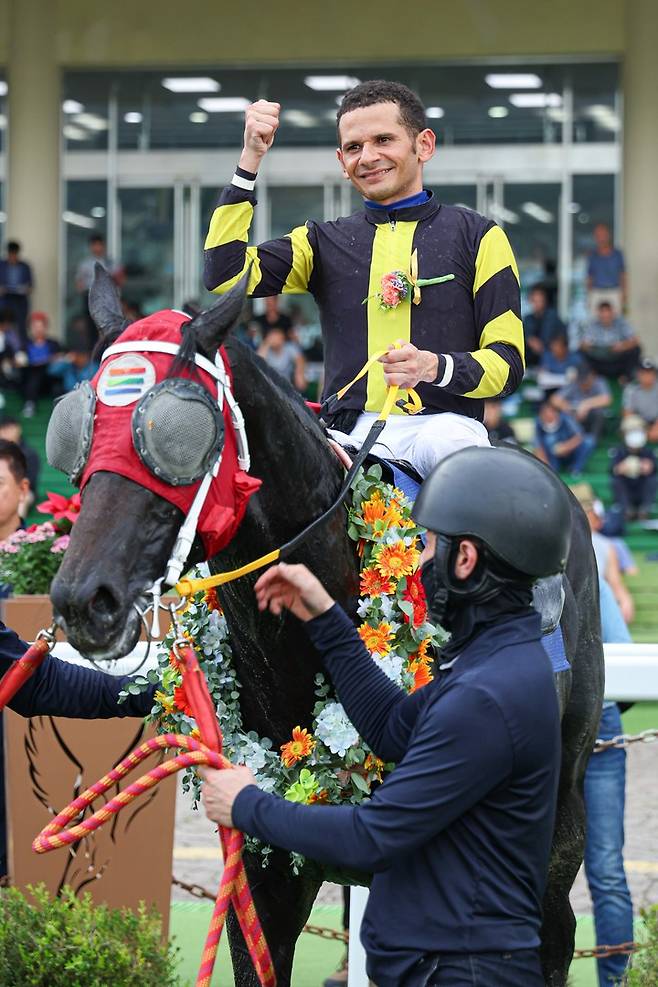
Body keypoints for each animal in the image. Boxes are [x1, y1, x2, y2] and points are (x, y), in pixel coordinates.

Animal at [50, 270, 604, 987]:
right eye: (77, 430)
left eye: (178, 433)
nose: (83, 599)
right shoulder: (262, 870)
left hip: (561, 800)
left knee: (556, 930)